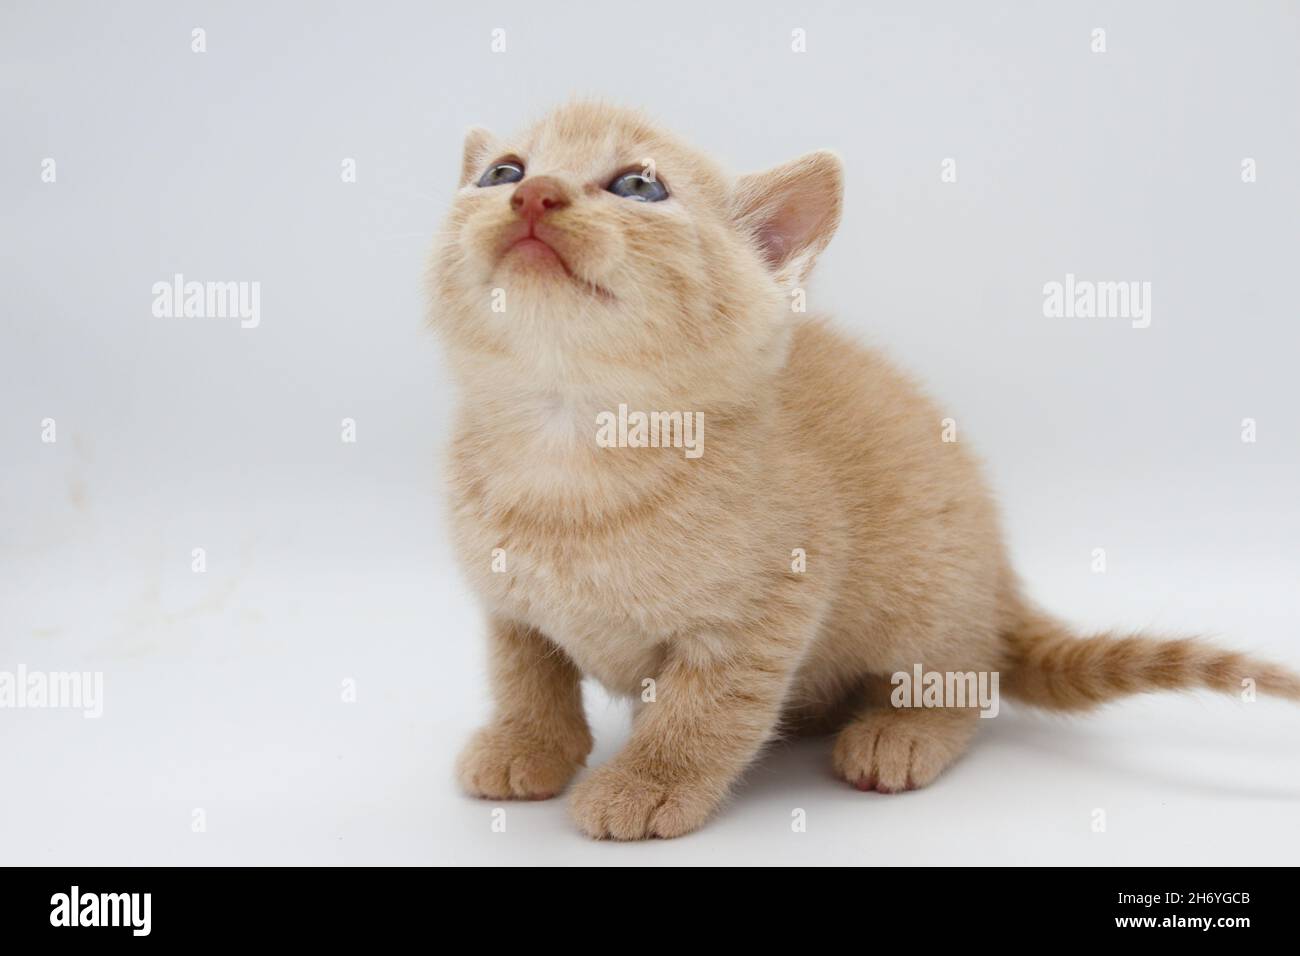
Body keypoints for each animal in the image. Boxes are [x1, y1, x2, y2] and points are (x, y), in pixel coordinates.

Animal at [428, 100, 1300, 842]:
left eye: (639, 185)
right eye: (502, 172)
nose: (534, 195)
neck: (565, 439)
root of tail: (1002, 586)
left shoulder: (768, 610)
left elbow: (707, 710)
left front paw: (650, 781)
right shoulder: (509, 604)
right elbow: (525, 676)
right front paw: (527, 745)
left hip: (930, 603)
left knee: (970, 679)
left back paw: (900, 732)